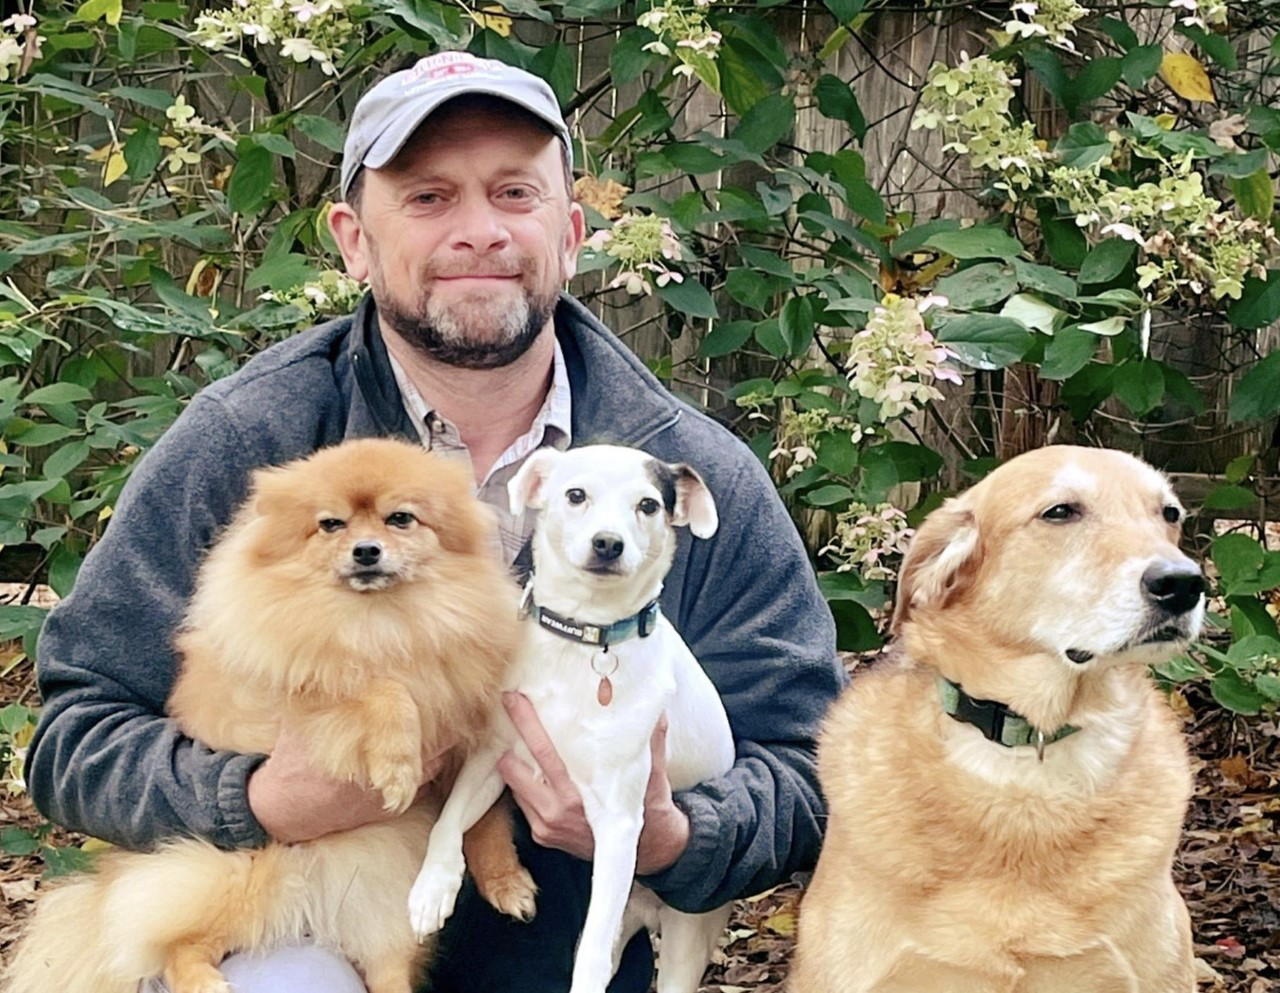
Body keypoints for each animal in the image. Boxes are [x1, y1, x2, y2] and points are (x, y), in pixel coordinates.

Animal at [3, 437, 529, 992]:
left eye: (400, 519)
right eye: (331, 525)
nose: (366, 550)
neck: (384, 621)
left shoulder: (467, 730)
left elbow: (483, 817)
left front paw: (504, 880)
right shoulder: (306, 691)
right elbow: (384, 693)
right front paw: (398, 766)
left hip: (381, 907)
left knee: (387, 964)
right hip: (239, 874)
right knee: (171, 944)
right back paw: (205, 982)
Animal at [404, 445, 737, 992]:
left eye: (648, 505)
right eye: (576, 494)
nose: (608, 543)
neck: (583, 639)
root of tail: (647, 910)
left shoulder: (620, 822)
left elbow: (592, 960)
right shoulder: (493, 757)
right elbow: (449, 821)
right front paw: (433, 887)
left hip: (683, 938)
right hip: (624, 912)